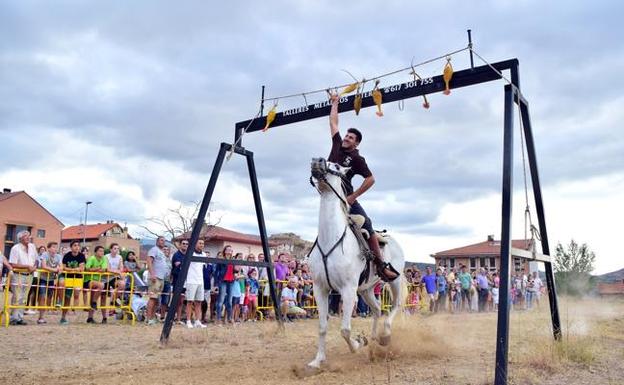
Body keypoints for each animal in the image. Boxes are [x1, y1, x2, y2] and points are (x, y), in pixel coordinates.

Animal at [306, 158, 404, 368]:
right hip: (367, 289)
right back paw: (374, 338)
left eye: (335, 166)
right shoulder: (320, 288)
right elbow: (322, 326)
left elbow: (345, 330)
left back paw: (385, 336)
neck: (331, 239)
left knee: (395, 306)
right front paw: (318, 361)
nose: (317, 161)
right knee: (377, 309)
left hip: (394, 281)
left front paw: (358, 343)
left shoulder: (348, 289)